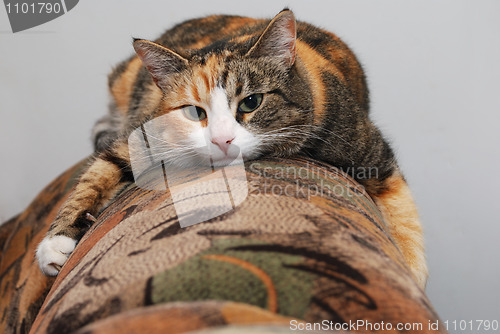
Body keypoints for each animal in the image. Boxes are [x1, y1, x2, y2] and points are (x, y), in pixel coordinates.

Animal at [36, 9, 426, 288]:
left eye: (251, 102)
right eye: (195, 112)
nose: (222, 139)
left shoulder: (368, 152)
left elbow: (403, 217)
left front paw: (410, 275)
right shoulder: (143, 136)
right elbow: (99, 171)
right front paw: (56, 242)